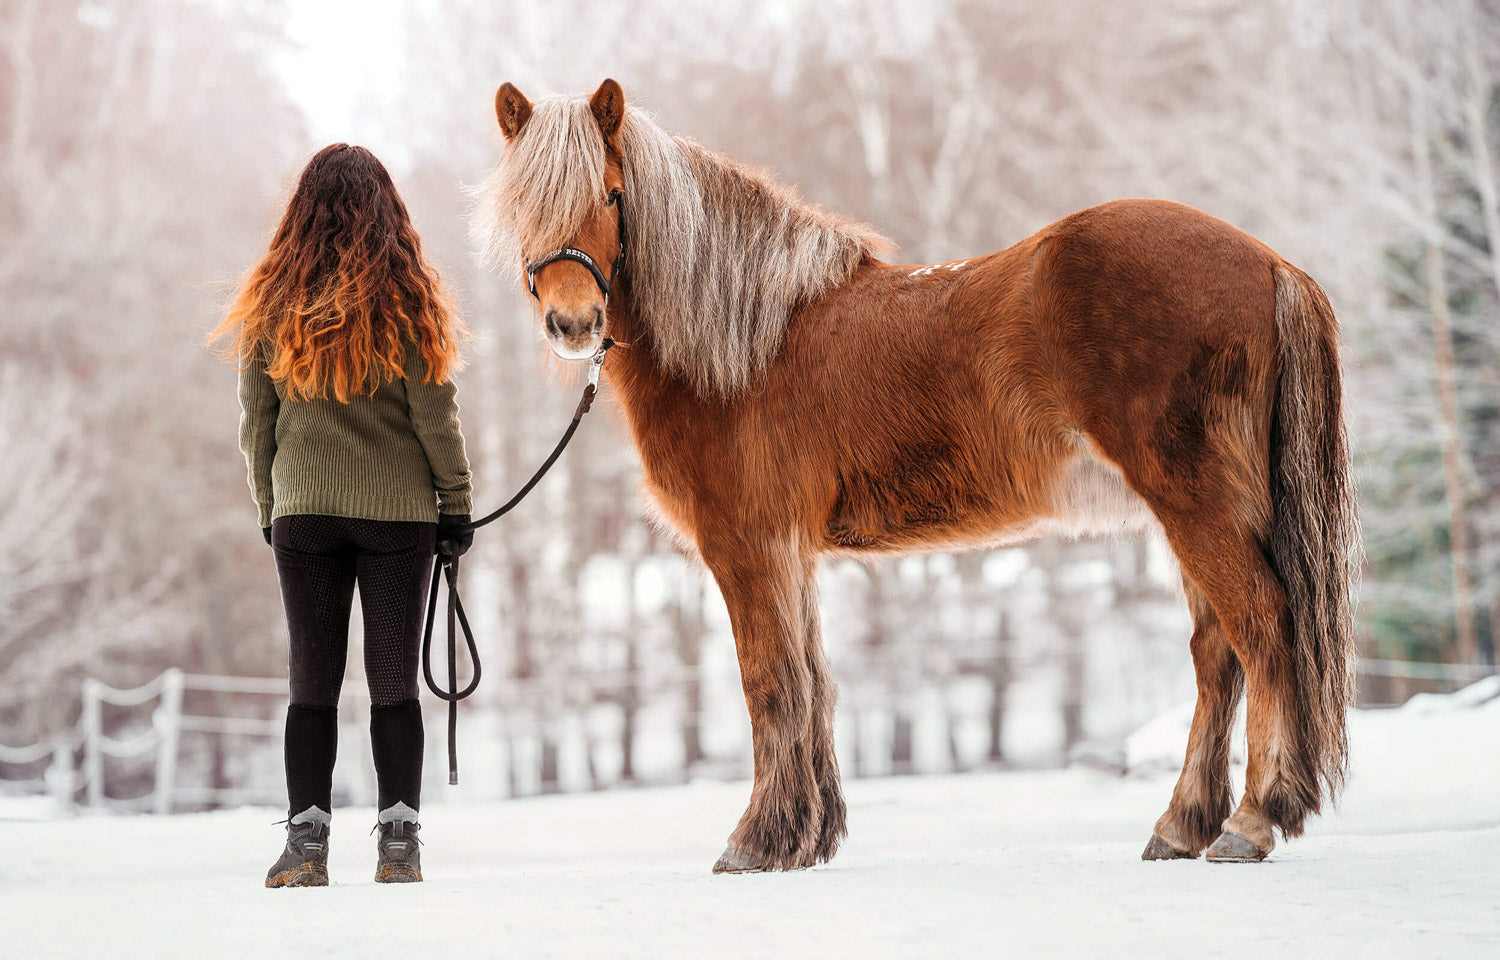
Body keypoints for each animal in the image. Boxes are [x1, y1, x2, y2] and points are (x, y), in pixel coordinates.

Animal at [471, 78, 1362, 876]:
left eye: (611, 195)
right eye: (523, 206)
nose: (572, 322)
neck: (747, 342)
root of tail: (1269, 262)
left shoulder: (745, 545)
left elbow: (769, 683)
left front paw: (755, 843)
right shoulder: (789, 553)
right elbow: (811, 683)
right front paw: (807, 838)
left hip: (1196, 504)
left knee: (1261, 624)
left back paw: (1250, 822)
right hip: (1192, 512)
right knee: (1218, 653)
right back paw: (1181, 826)